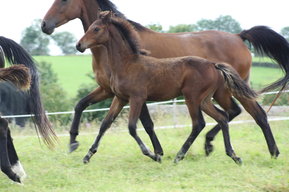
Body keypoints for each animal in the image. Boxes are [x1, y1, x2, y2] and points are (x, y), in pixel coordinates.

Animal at [41, 0, 288, 155]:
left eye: (63, 0)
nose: (45, 25)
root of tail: (239, 35)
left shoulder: (133, 95)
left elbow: (144, 124)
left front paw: (156, 152)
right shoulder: (109, 91)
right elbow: (82, 106)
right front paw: (74, 142)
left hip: (222, 91)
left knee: (255, 115)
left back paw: (272, 152)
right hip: (218, 93)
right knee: (231, 113)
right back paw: (211, 145)